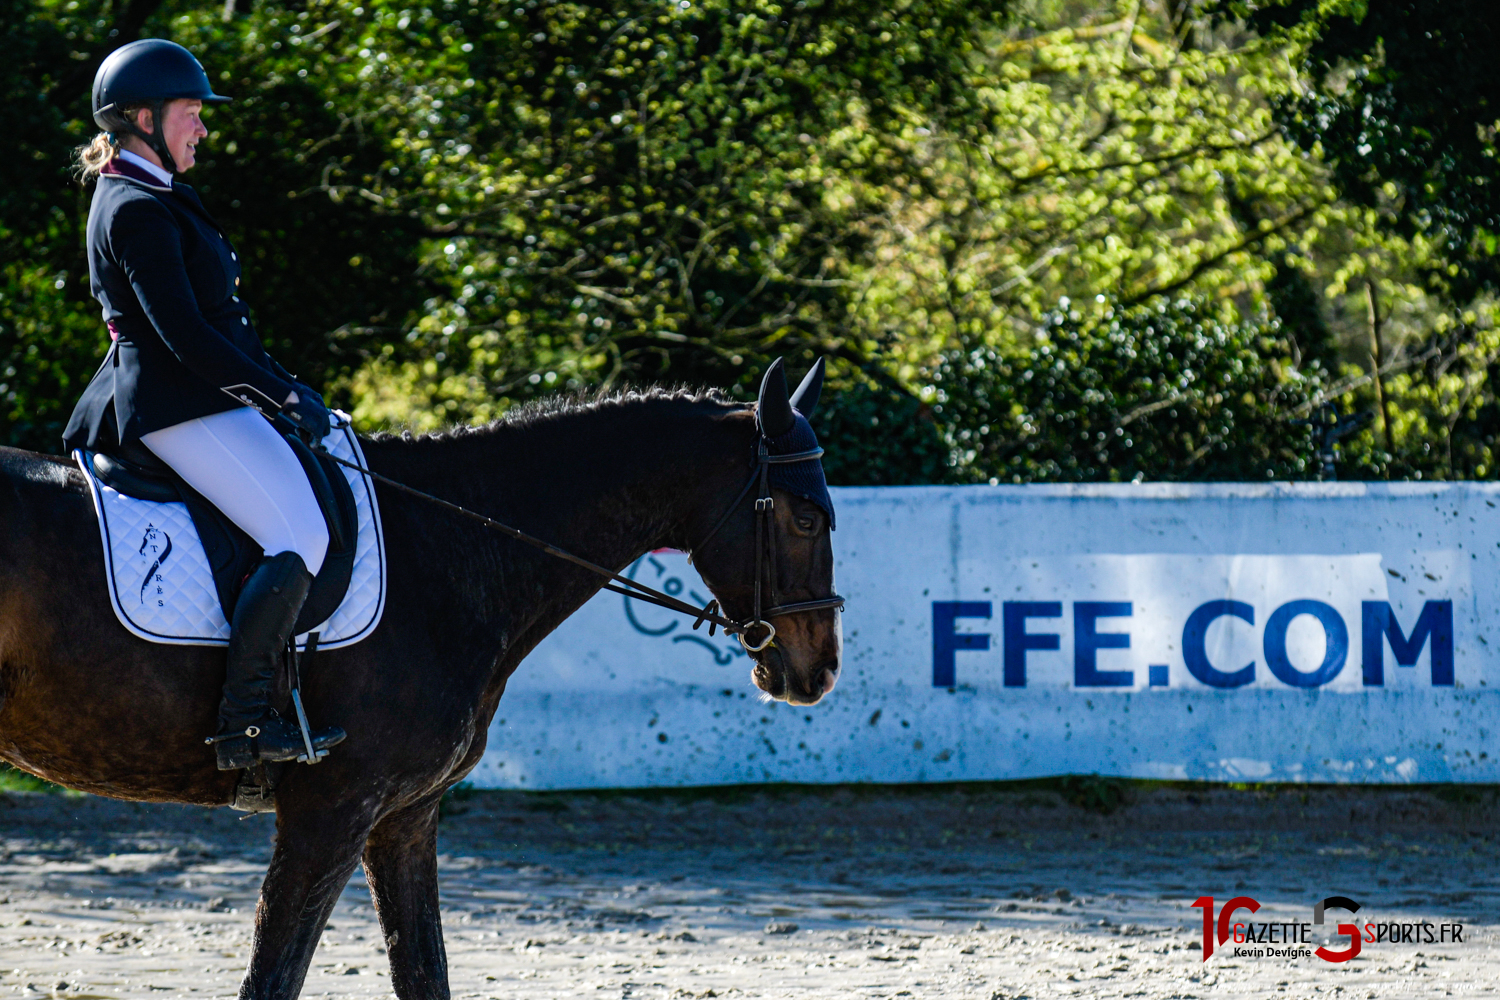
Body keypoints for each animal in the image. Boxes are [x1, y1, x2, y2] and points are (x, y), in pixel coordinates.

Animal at [0, 364, 846, 1000]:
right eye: (805, 517)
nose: (820, 671)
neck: (453, 549)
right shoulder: (330, 811)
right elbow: (273, 979)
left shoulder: (405, 816)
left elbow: (424, 973)